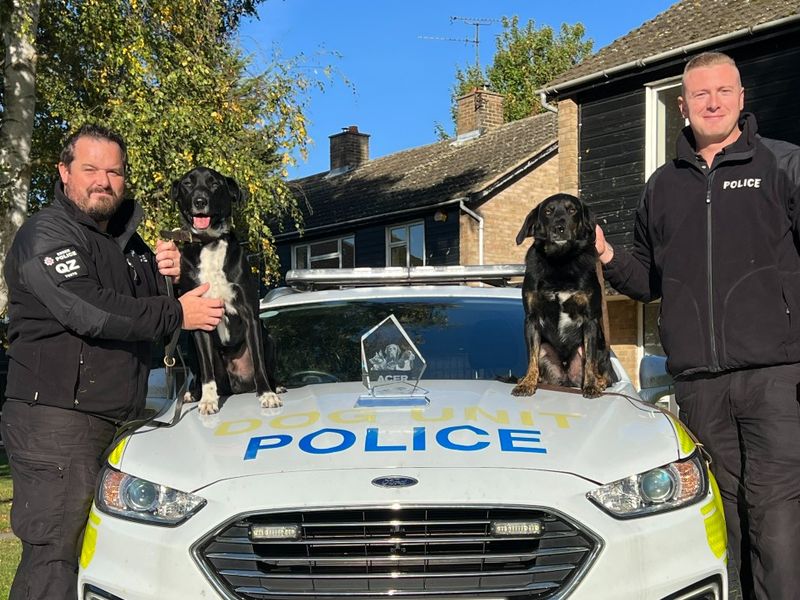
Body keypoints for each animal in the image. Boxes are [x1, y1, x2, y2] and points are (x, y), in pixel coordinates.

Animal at [170, 166, 282, 414]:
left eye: (215, 184)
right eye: (187, 184)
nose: (200, 201)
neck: (209, 244)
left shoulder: (250, 314)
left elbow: (259, 361)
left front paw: (267, 394)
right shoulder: (199, 321)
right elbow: (207, 370)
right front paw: (208, 400)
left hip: (268, 337)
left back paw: (276, 385)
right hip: (190, 344)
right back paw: (193, 393)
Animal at [512, 193, 612, 398]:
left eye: (572, 210)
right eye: (548, 212)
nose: (559, 228)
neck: (560, 262)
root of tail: (566, 378)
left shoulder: (590, 319)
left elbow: (590, 360)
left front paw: (591, 385)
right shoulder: (531, 318)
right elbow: (531, 357)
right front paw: (527, 383)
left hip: (598, 348)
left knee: (601, 368)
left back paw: (599, 381)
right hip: (545, 350)